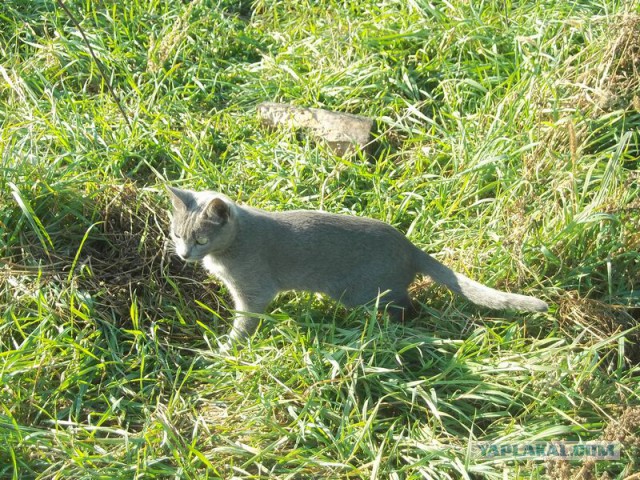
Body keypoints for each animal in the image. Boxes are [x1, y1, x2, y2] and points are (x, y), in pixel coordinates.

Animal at [168, 187, 548, 344]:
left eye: (200, 239)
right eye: (176, 235)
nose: (184, 254)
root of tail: (408, 246)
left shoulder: (254, 291)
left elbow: (246, 321)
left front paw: (227, 349)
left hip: (364, 292)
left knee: (406, 304)